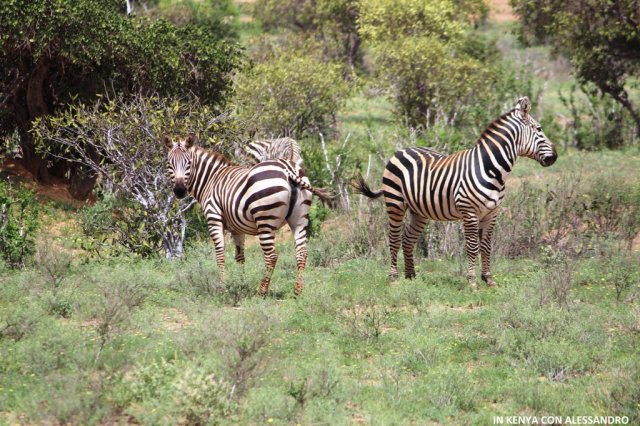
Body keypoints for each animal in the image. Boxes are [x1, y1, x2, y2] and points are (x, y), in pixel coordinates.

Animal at [165, 135, 336, 294]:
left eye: (188, 163)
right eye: (170, 164)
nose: (179, 191)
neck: (211, 180)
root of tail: (287, 168)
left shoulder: (214, 218)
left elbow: (220, 254)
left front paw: (222, 287)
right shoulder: (236, 228)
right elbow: (240, 257)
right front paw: (242, 282)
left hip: (265, 220)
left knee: (271, 256)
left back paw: (261, 291)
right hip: (299, 219)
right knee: (302, 253)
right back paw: (297, 291)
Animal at [352, 98, 556, 288]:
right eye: (539, 129)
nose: (555, 157)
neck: (491, 169)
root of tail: (401, 150)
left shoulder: (492, 213)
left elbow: (487, 246)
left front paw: (488, 279)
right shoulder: (470, 212)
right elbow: (473, 247)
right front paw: (472, 282)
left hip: (418, 210)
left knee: (408, 238)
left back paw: (410, 276)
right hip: (395, 202)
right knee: (394, 238)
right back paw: (393, 278)